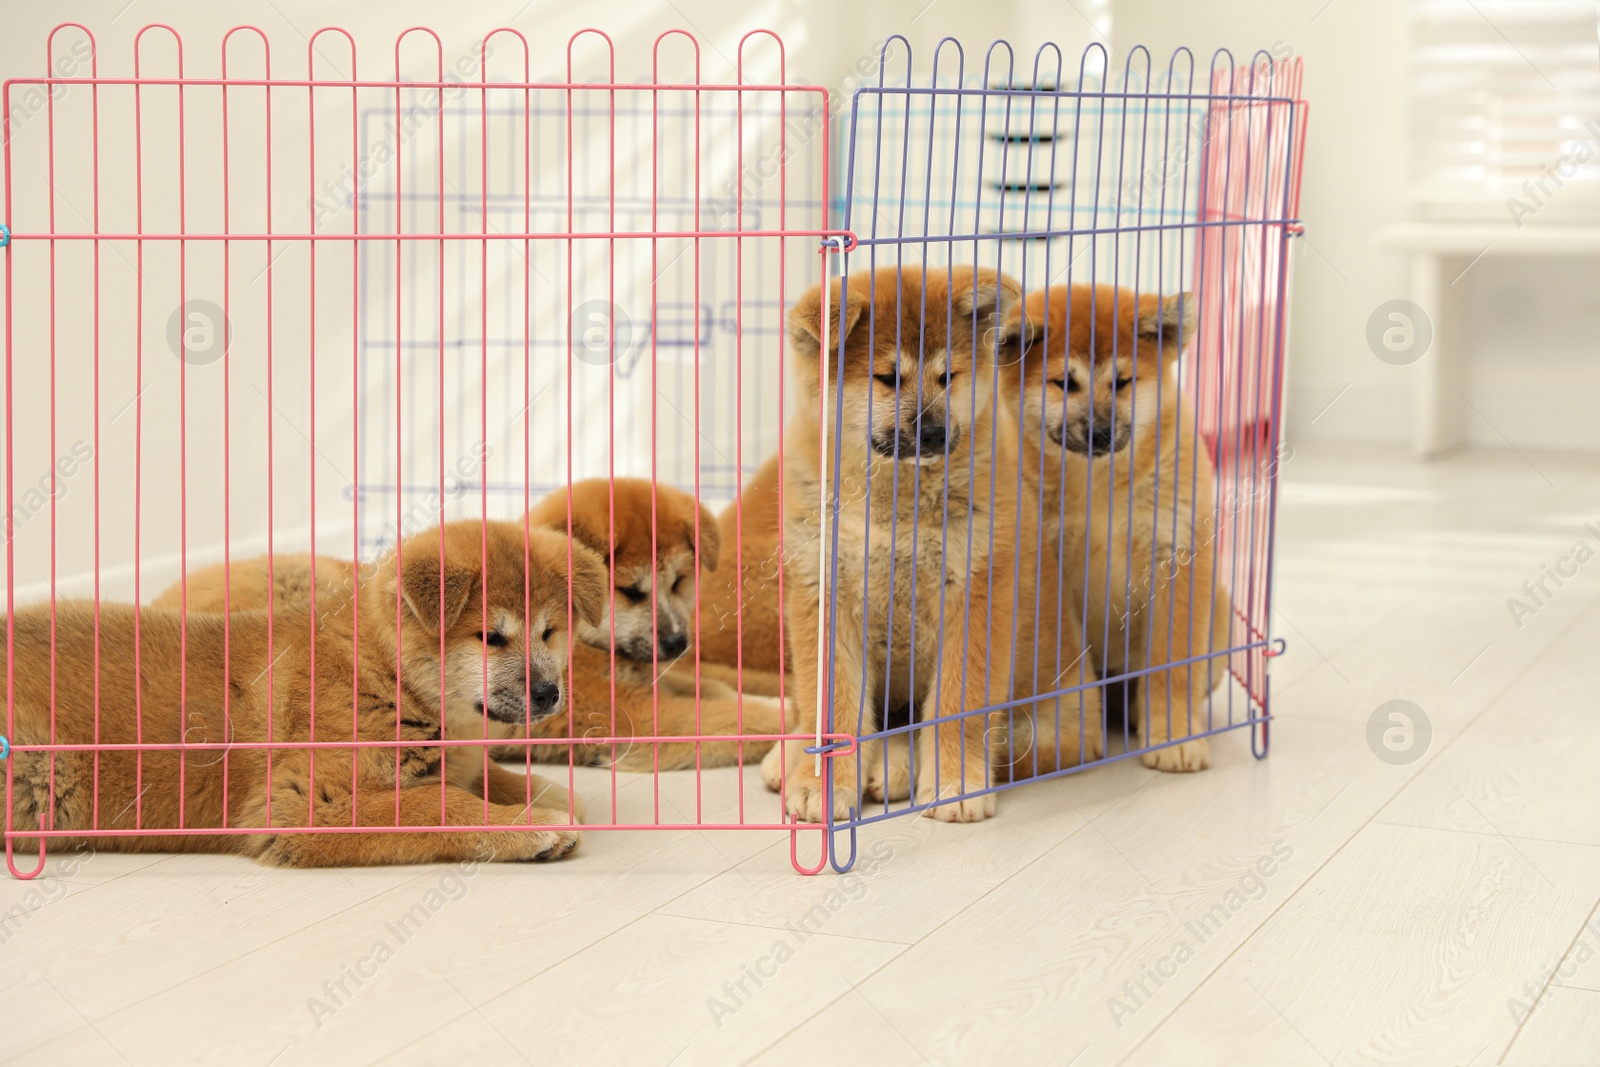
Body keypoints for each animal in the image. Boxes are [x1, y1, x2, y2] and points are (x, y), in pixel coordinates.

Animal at [10, 524, 604, 870]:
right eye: (491, 637)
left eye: (549, 632)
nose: (550, 694)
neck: (384, 674)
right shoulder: (295, 804)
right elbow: (437, 803)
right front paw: (528, 825)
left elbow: (494, 777)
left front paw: (545, 795)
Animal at [764, 268, 1100, 825]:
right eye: (887, 378)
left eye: (949, 377)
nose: (935, 432)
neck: (895, 502)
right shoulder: (825, 595)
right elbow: (831, 707)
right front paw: (821, 783)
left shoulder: (973, 596)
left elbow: (954, 708)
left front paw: (954, 786)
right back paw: (788, 755)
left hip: (1048, 729)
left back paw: (897, 768)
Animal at [1004, 281, 1228, 767]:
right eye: (1064, 383)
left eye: (1123, 382)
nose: (1101, 433)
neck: (1099, 488)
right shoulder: (1054, 573)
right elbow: (1072, 667)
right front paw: (1077, 734)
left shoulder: (1176, 555)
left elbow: (1172, 668)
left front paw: (1174, 738)